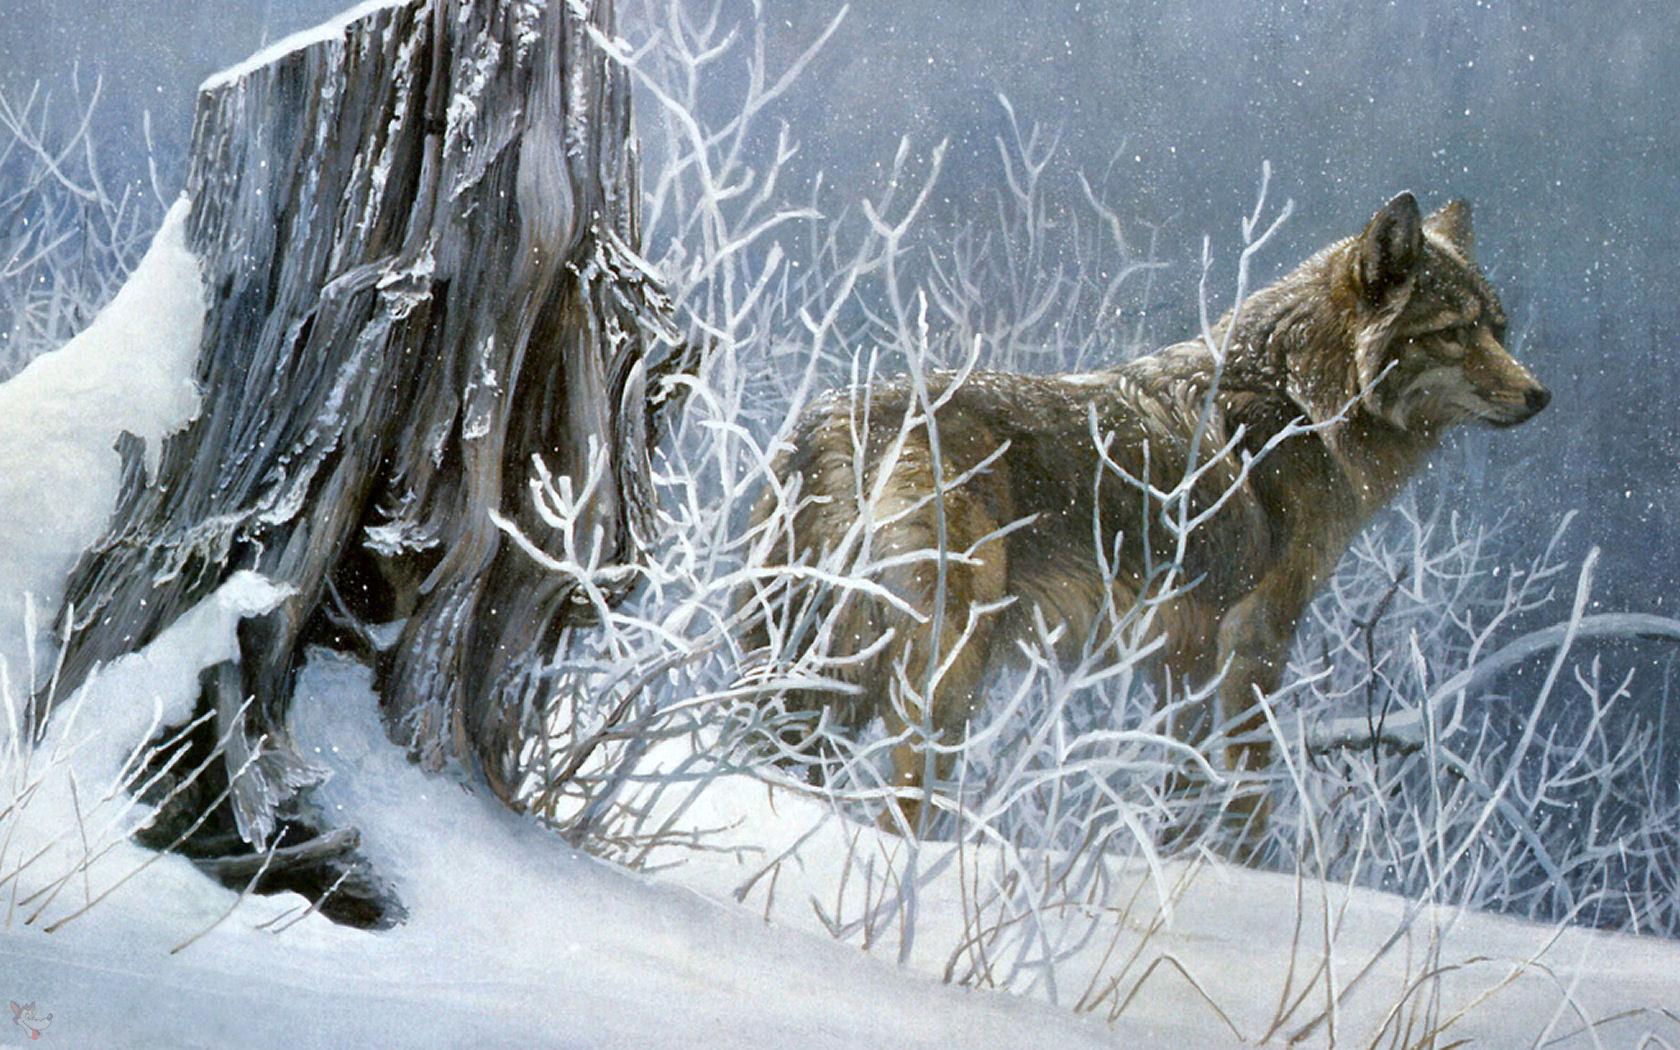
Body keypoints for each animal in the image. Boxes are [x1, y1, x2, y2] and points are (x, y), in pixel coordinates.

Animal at [743, 193, 1548, 840]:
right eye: (1453, 332)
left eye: (1500, 329)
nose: (1541, 396)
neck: (1300, 400)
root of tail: (825, 425)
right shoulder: (1254, 639)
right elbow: (1247, 795)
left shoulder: (1182, 651)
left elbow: (1180, 782)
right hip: (941, 674)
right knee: (899, 802)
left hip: (834, 672)